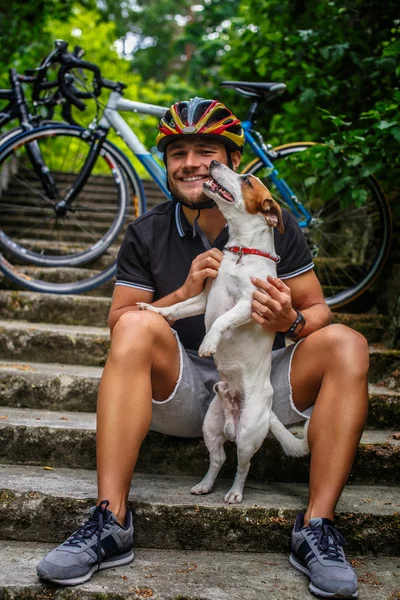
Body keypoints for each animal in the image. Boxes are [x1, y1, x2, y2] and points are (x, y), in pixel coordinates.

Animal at [138, 159, 310, 502]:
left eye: (247, 179)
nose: (214, 162)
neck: (242, 252)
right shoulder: (204, 298)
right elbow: (177, 308)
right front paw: (155, 311)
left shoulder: (249, 304)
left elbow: (221, 321)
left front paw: (208, 344)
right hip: (211, 426)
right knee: (217, 459)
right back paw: (205, 485)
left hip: (247, 434)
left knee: (243, 466)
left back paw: (234, 493)